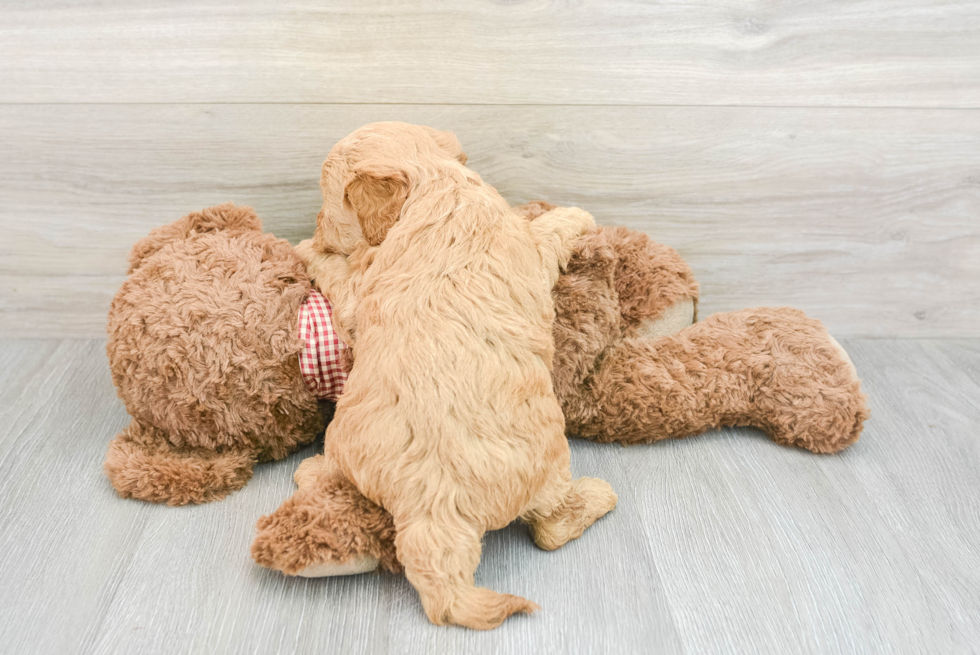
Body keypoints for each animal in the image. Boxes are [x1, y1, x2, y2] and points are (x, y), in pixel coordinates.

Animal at [294, 123, 616, 632]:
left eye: (329, 205)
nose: (317, 228)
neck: (437, 183)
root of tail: (435, 502)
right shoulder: (526, 248)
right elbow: (544, 232)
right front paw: (575, 213)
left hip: (351, 444)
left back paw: (311, 470)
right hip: (548, 466)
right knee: (551, 525)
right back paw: (598, 495)